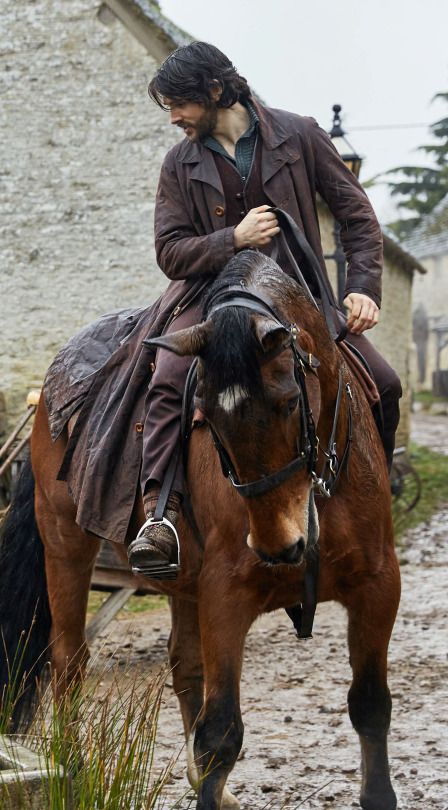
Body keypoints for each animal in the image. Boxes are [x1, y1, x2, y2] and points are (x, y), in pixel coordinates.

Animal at [0, 251, 400, 808]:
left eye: (289, 402)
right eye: (204, 418)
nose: (280, 548)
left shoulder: (377, 588)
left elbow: (370, 704)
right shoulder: (227, 596)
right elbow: (221, 733)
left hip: (181, 578)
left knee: (183, 662)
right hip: (64, 544)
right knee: (69, 658)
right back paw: (71, 768)